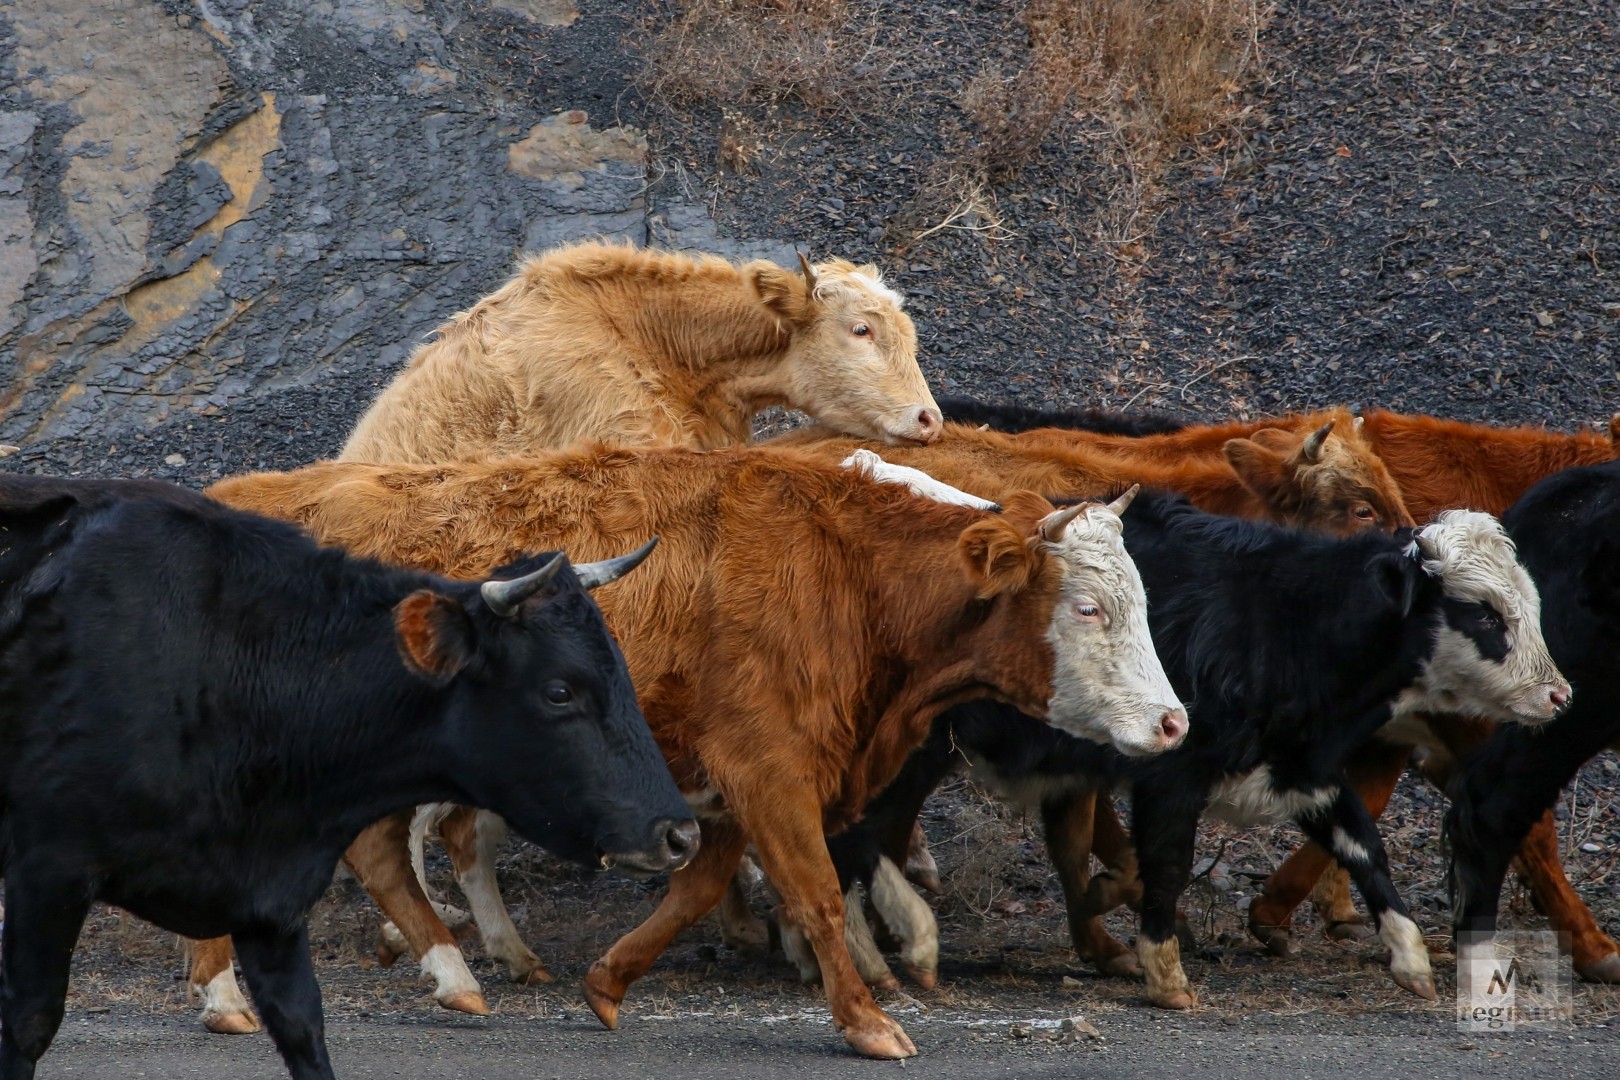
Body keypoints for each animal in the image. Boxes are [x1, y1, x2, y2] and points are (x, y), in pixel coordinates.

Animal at [0, 479, 693, 1080]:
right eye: (559, 691)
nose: (681, 835)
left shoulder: (270, 898)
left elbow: (304, 1029)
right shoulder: (47, 872)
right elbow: (28, 1024)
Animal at [196, 443, 1185, 1062]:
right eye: (1088, 608)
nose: (1175, 724)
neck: (844, 566)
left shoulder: (738, 780)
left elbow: (701, 884)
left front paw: (609, 982)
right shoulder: (768, 768)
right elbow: (816, 894)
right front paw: (867, 1023)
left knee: (379, 850)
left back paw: (452, 974)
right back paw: (224, 994)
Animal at [816, 495, 1561, 1010]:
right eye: (1485, 612)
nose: (1560, 695)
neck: (1281, 622)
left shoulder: (1306, 770)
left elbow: (1364, 847)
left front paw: (1410, 957)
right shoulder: (1173, 774)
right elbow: (1169, 864)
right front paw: (1165, 971)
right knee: (852, 836)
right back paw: (897, 944)